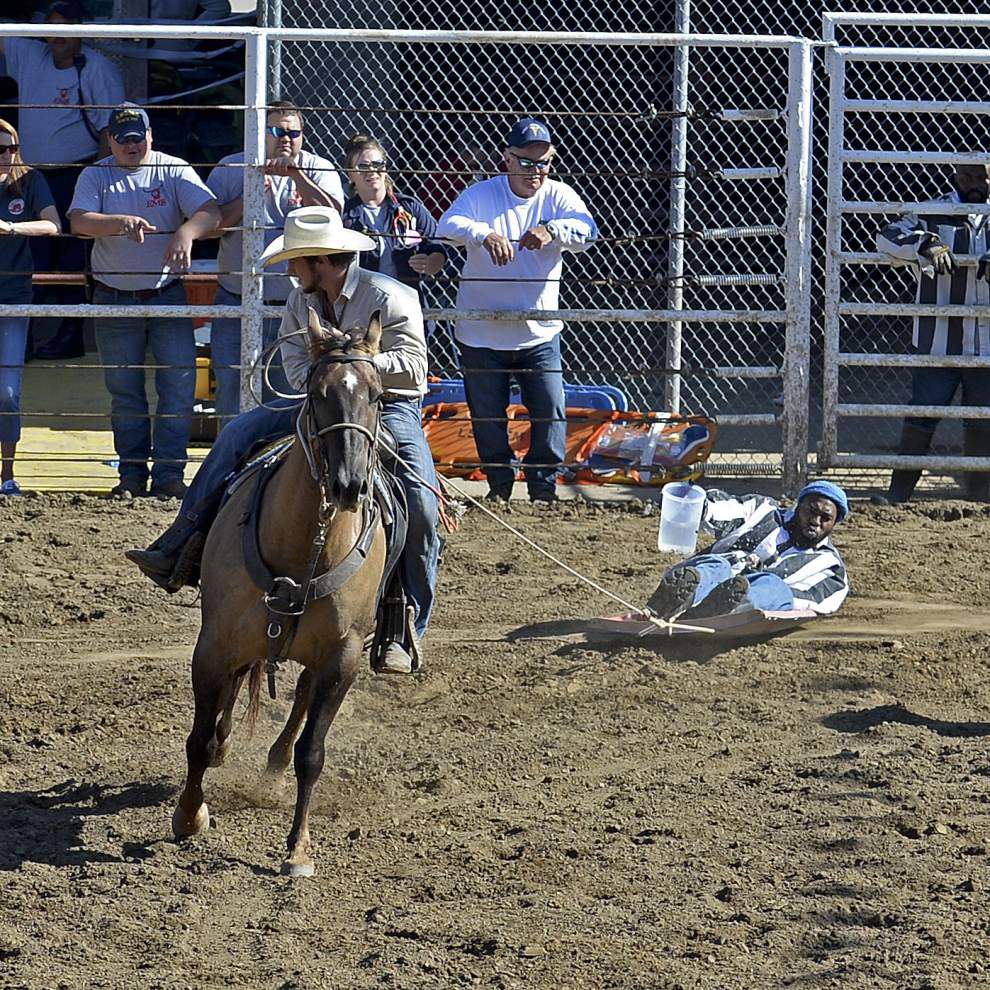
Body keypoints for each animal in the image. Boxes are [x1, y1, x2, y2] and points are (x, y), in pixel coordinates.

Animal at [170, 314, 388, 880]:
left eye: (378, 394)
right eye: (317, 393)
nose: (349, 484)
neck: (304, 544)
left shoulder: (343, 658)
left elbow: (314, 752)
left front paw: (298, 849)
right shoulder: (213, 646)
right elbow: (199, 738)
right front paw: (189, 815)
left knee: (300, 702)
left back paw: (274, 759)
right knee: (227, 707)